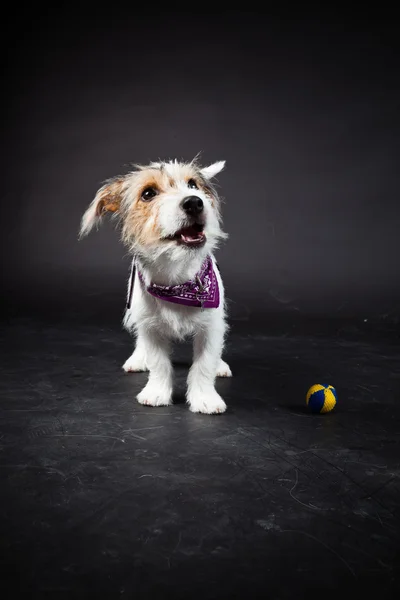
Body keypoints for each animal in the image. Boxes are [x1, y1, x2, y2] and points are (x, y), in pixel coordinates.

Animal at [80, 157, 231, 414]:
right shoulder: (150, 327)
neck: (177, 279)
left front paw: (205, 399)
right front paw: (157, 393)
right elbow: (158, 362)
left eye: (193, 184)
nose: (194, 202)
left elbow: (205, 363)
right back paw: (138, 359)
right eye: (148, 193)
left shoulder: (211, 326)